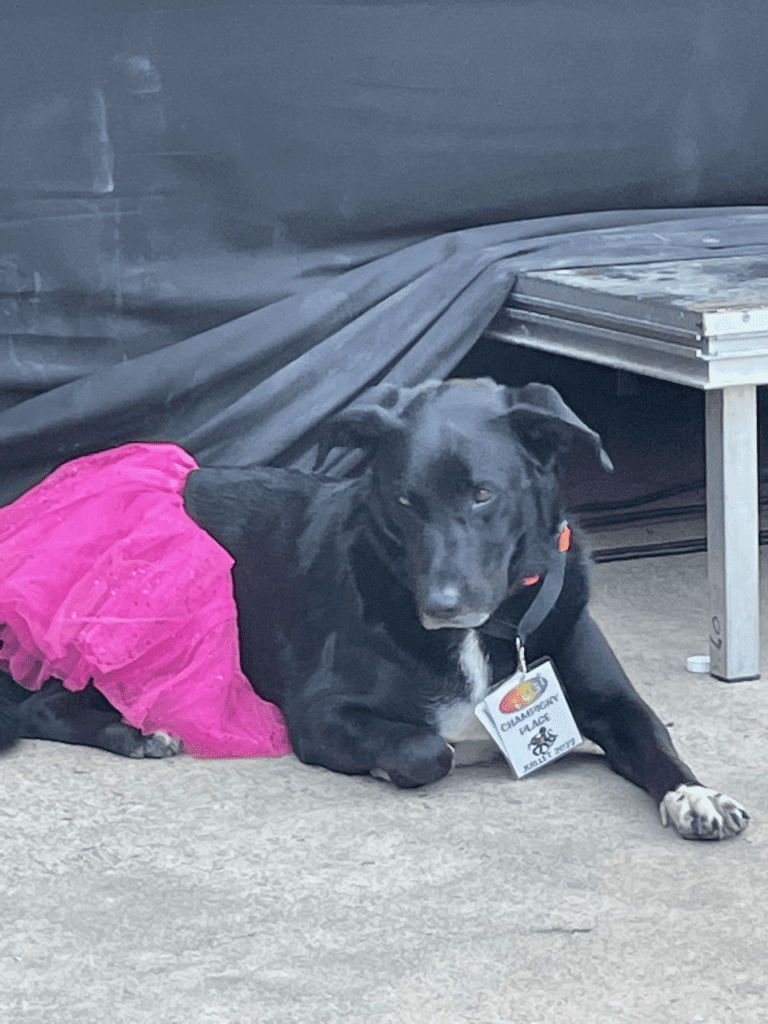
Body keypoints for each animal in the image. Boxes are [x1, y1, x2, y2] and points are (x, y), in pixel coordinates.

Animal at [0, 378, 749, 839]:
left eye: (483, 494)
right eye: (404, 500)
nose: (441, 604)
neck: (486, 634)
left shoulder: (615, 702)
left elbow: (658, 742)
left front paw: (698, 796)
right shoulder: (320, 713)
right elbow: (428, 748)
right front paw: (404, 760)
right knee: (37, 708)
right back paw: (136, 732)